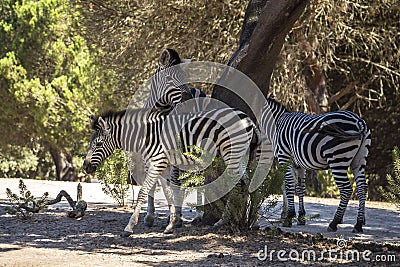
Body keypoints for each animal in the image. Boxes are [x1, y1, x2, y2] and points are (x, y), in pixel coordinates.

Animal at [83, 107, 255, 237]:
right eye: (91, 143)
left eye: (98, 144)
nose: (85, 167)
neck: (147, 136)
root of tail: (247, 118)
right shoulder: (162, 165)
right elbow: (168, 193)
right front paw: (171, 224)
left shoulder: (157, 162)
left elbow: (143, 192)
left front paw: (129, 227)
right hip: (238, 154)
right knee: (246, 181)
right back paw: (245, 220)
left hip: (231, 152)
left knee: (237, 182)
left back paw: (228, 220)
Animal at [260, 97, 370, 233]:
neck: (276, 123)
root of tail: (358, 121)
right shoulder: (299, 164)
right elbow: (300, 188)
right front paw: (301, 217)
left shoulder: (284, 157)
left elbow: (288, 185)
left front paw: (288, 217)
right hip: (359, 160)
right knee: (362, 187)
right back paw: (358, 224)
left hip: (337, 158)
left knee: (346, 189)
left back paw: (334, 223)